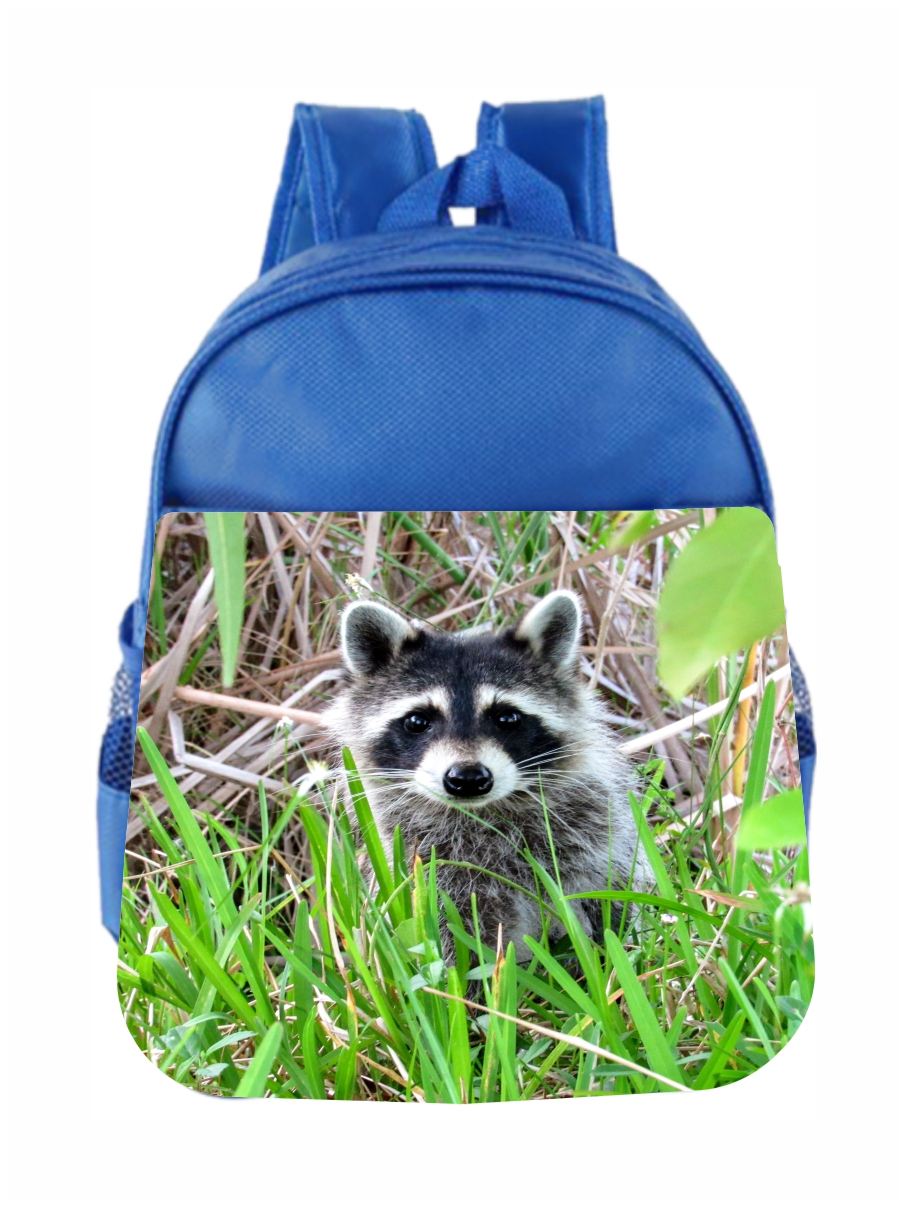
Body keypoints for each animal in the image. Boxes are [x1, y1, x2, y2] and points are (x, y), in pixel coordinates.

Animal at [327, 589, 652, 961]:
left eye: (507, 718)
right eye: (417, 721)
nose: (467, 779)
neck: (483, 813)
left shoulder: (593, 832)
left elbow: (611, 894)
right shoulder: (427, 866)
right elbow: (451, 937)